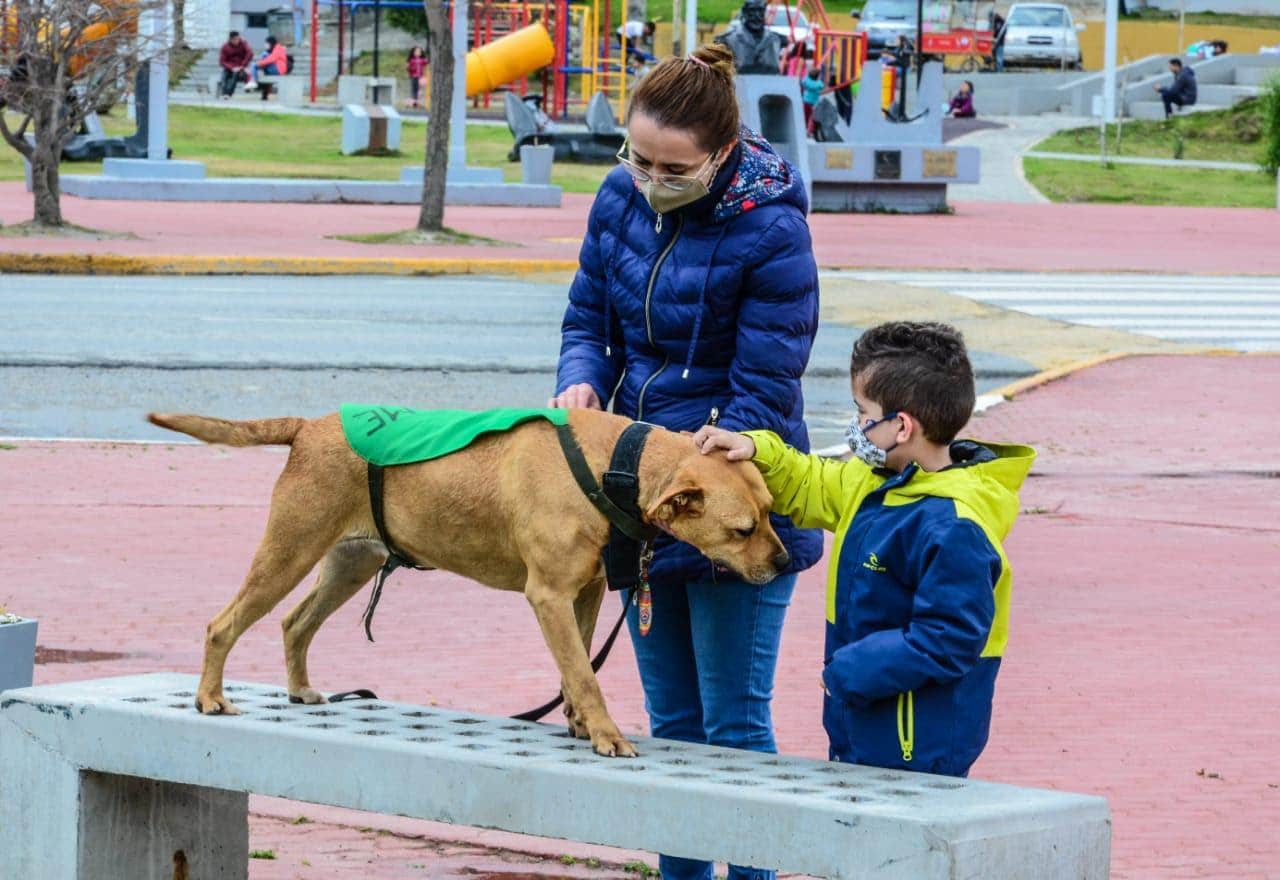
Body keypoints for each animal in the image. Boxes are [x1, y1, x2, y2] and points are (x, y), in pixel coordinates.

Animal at [147, 406, 788, 757]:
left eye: (771, 512)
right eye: (742, 528)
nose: (784, 564)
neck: (615, 464)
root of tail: (309, 427)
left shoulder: (582, 594)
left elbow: (577, 666)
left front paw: (581, 724)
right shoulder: (549, 595)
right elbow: (584, 673)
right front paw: (606, 734)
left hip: (349, 563)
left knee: (294, 622)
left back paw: (301, 688)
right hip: (290, 550)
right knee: (223, 623)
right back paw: (209, 697)